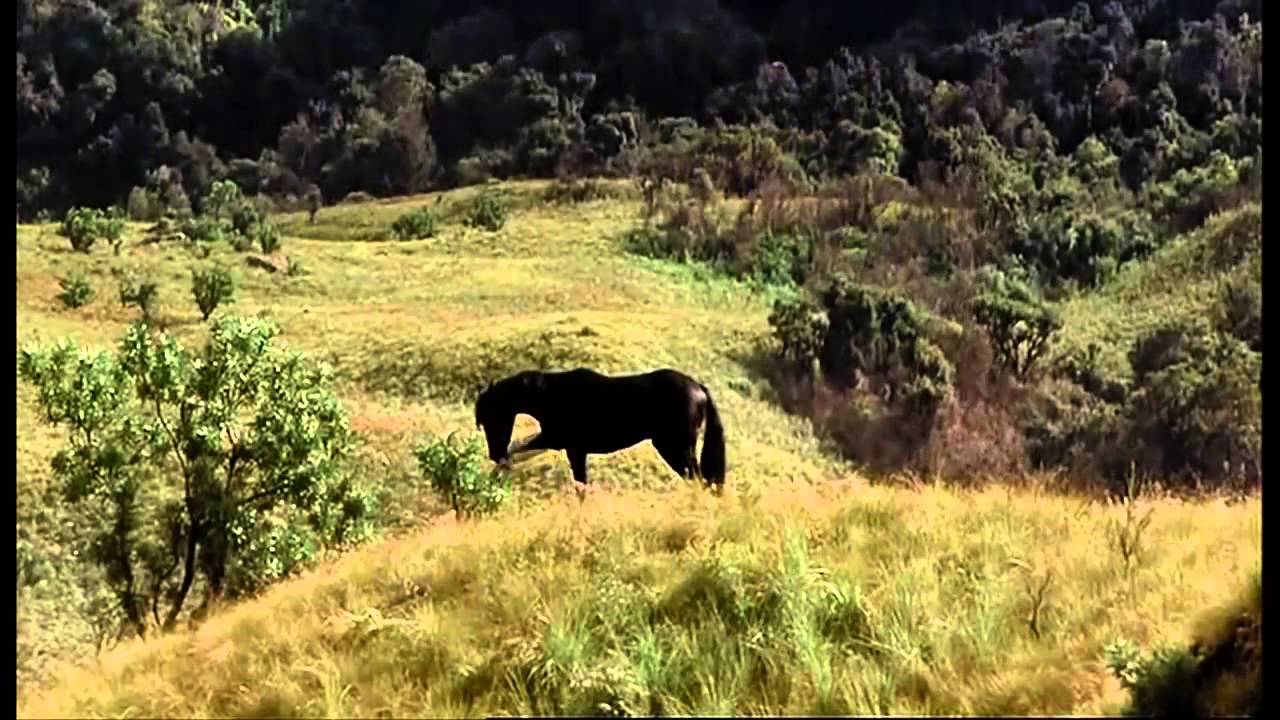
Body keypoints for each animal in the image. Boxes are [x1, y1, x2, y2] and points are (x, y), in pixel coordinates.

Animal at [473, 366, 732, 484]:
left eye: (491, 417)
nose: (494, 454)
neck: (552, 395)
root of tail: (698, 388)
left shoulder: (562, 442)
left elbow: (518, 447)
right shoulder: (567, 446)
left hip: (675, 447)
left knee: (698, 480)